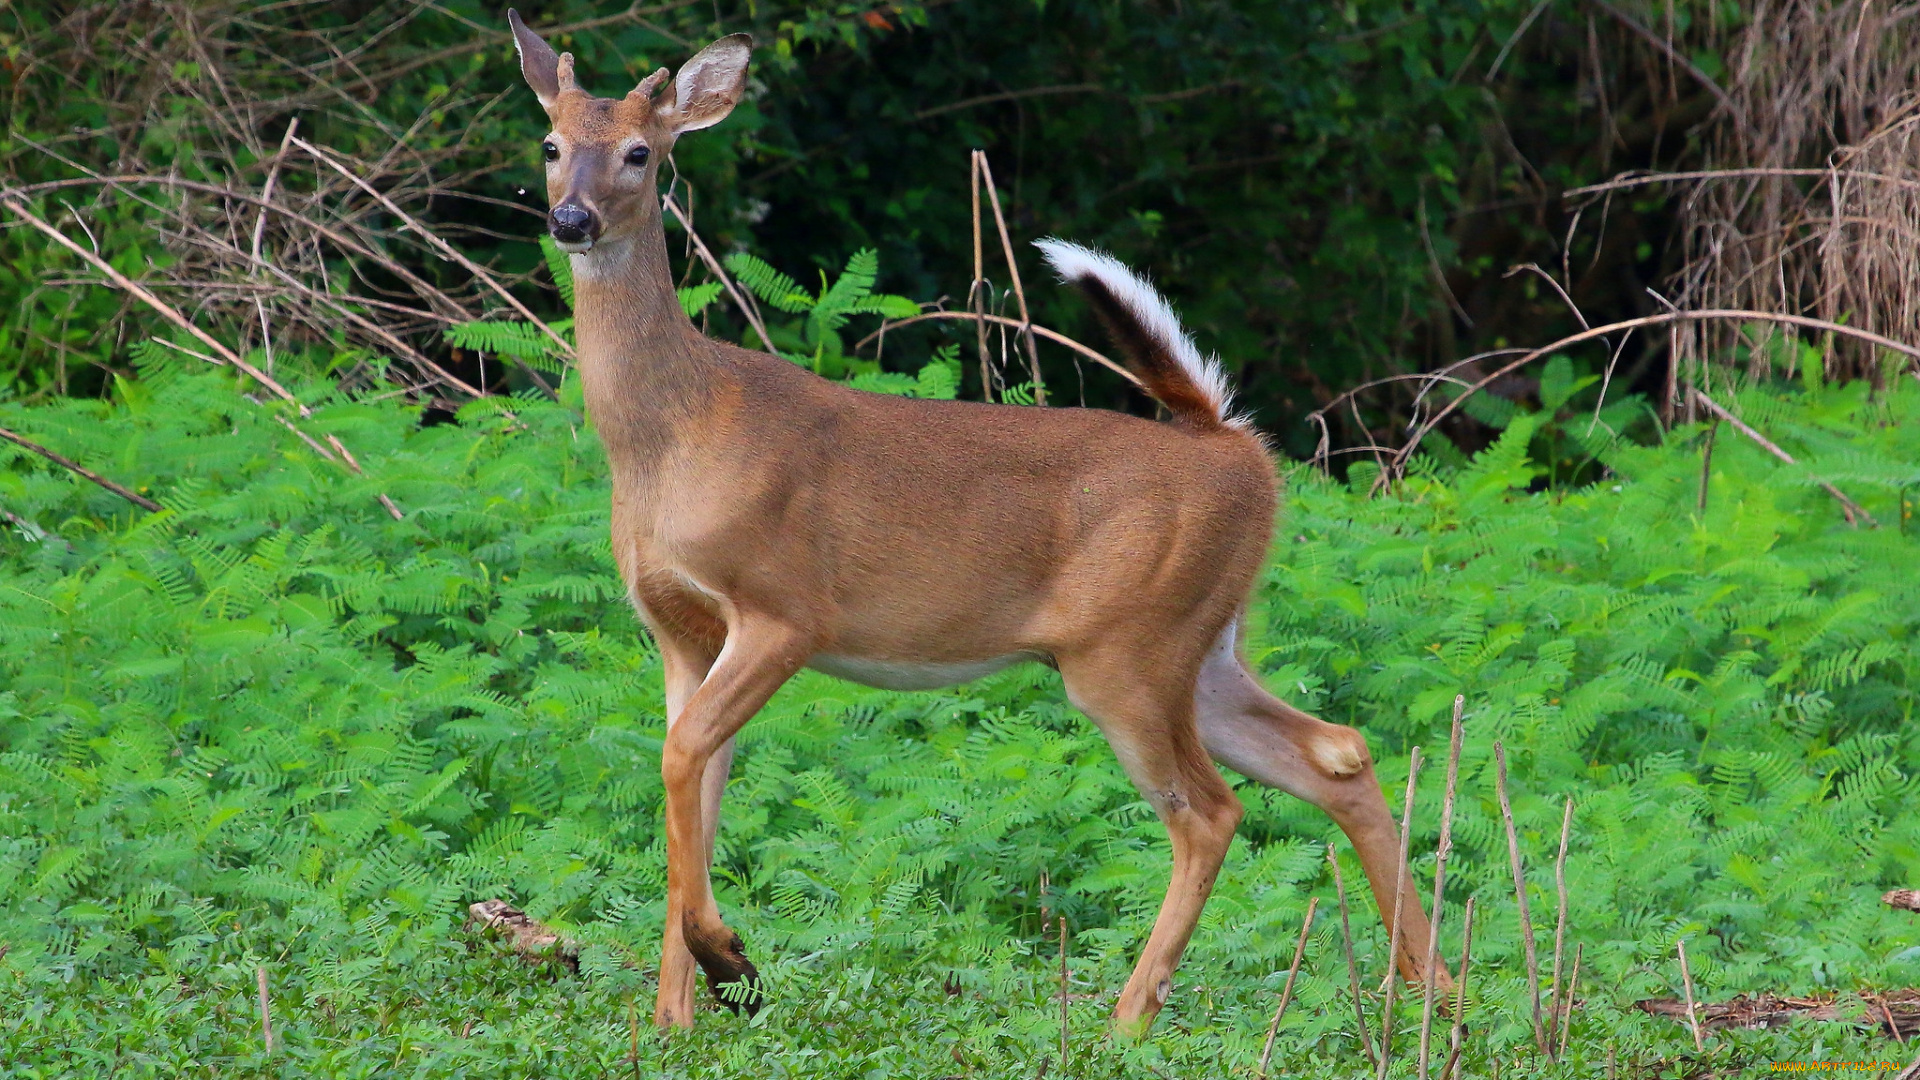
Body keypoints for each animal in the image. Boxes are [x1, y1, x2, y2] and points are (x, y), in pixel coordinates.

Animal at [503, 10, 1443, 1037]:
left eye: (642, 152)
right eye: (551, 144)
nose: (570, 220)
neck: (670, 439)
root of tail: (1239, 450)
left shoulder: (785, 609)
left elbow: (682, 759)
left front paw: (729, 962)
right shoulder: (679, 629)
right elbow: (693, 785)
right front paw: (682, 1012)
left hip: (1132, 646)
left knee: (1210, 812)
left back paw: (1125, 1021)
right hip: (1202, 642)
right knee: (1336, 753)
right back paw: (1434, 990)